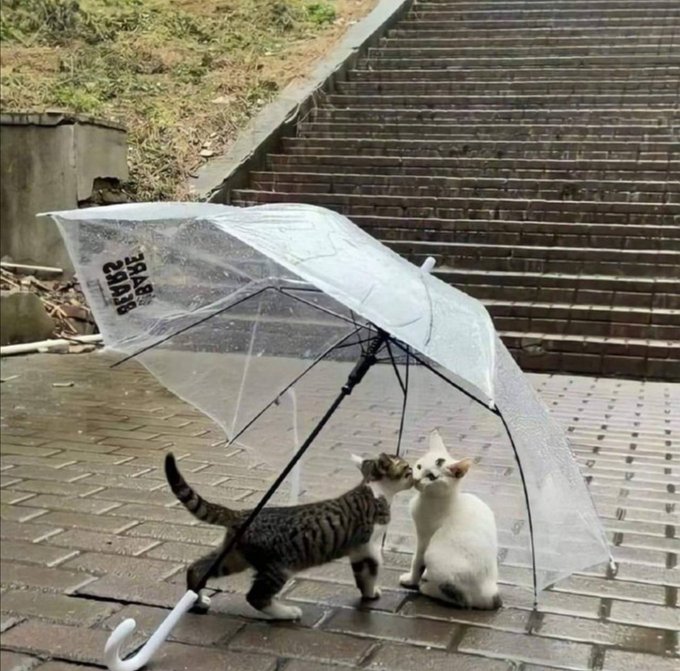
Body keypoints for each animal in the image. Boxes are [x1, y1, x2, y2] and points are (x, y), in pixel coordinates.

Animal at [165, 451, 412, 620]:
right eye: (408, 469)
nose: (415, 476)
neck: (376, 491)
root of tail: (240, 514)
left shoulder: (357, 550)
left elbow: (361, 575)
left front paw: (368, 593)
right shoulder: (366, 546)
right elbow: (371, 570)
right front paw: (371, 593)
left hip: (233, 557)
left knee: (197, 568)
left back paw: (197, 602)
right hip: (278, 567)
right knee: (255, 597)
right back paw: (286, 613)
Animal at [399, 429, 502, 610]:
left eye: (431, 477)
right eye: (419, 466)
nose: (416, 479)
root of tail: (489, 593)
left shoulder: (424, 537)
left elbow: (417, 561)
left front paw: (411, 580)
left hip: (435, 554)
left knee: (462, 599)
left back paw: (426, 587)